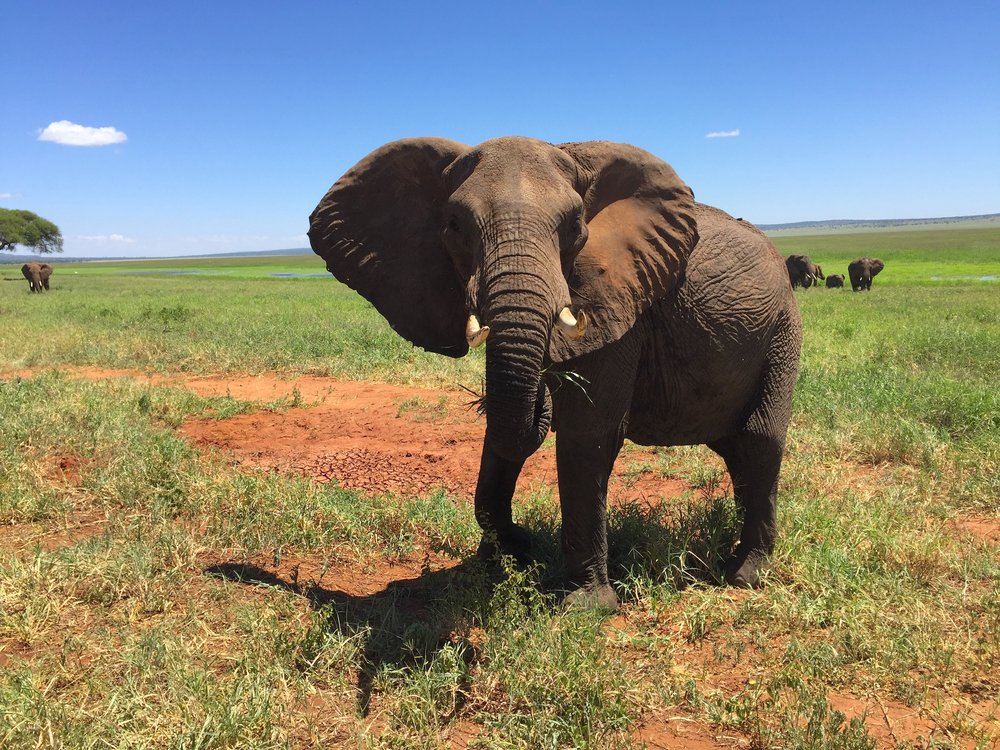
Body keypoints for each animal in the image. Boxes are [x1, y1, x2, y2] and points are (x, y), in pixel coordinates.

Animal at [309, 137, 802, 608]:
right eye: (454, 225)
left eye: (574, 227)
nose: (523, 541)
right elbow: (501, 427)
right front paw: (504, 559)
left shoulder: (621, 307)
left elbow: (589, 434)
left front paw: (585, 606)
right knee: (736, 450)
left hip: (782, 332)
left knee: (760, 441)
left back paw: (743, 574)